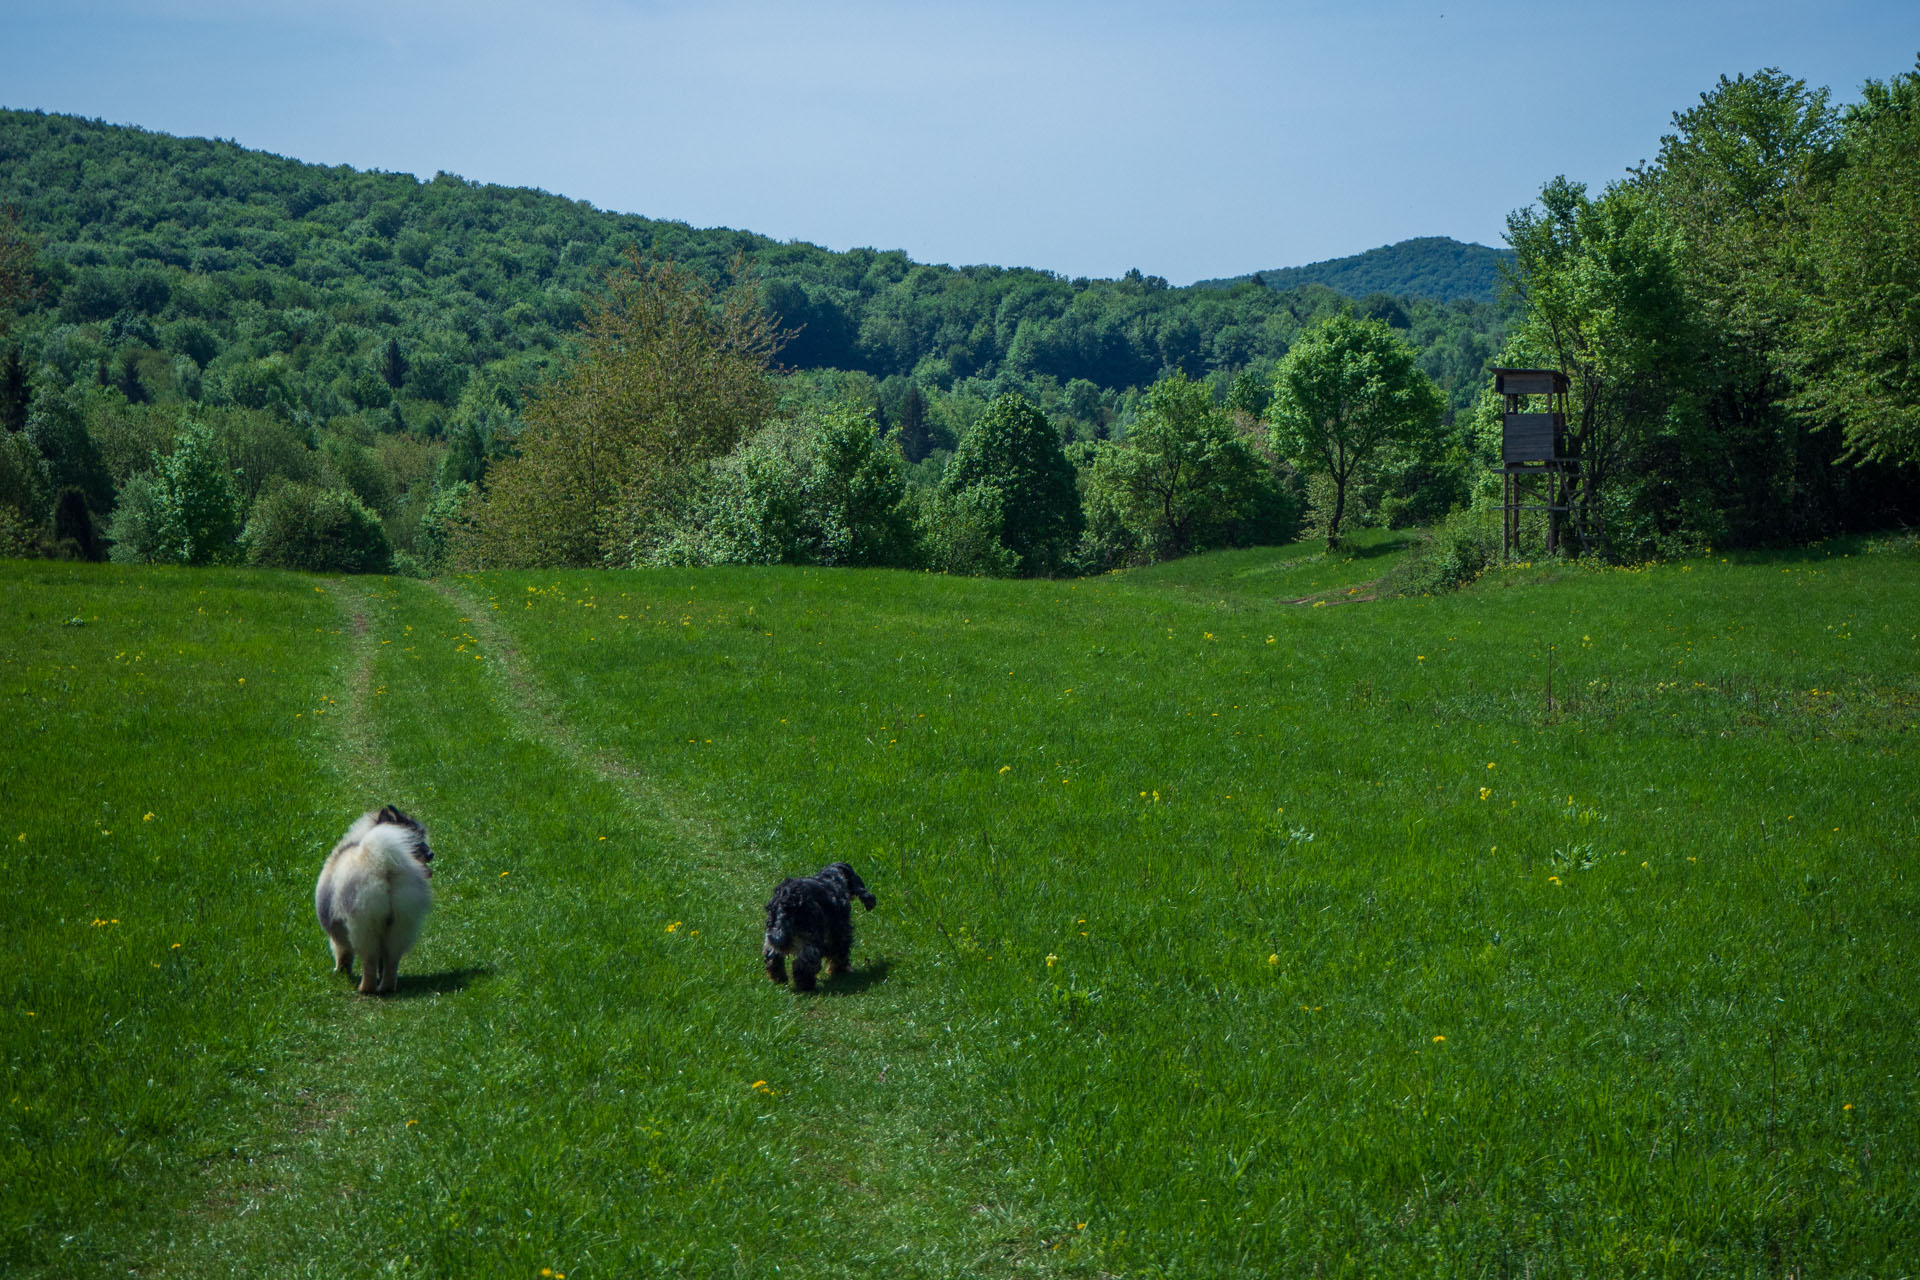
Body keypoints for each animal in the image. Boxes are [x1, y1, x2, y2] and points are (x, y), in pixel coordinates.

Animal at [312, 805, 433, 997]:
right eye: (416, 840)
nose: (431, 854)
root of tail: (384, 865)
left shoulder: (337, 935)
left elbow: (342, 954)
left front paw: (340, 973)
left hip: (364, 927)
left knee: (369, 961)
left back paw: (365, 989)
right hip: (399, 926)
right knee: (391, 960)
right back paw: (386, 988)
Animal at [768, 867, 879, 997]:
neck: (833, 877)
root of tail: (786, 900)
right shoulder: (840, 932)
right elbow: (840, 953)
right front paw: (840, 970)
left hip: (773, 935)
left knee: (773, 957)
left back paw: (779, 978)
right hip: (811, 939)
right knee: (802, 965)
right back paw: (806, 985)